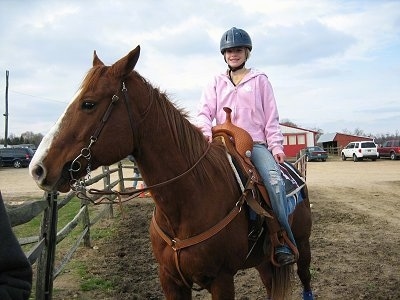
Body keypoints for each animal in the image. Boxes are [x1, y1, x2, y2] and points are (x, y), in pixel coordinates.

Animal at [29, 45, 314, 298]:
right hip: (264, 261)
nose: (38, 168)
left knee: (305, 278)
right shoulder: (170, 280)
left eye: (88, 104)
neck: (188, 200)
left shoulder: (221, 280)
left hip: (301, 246)